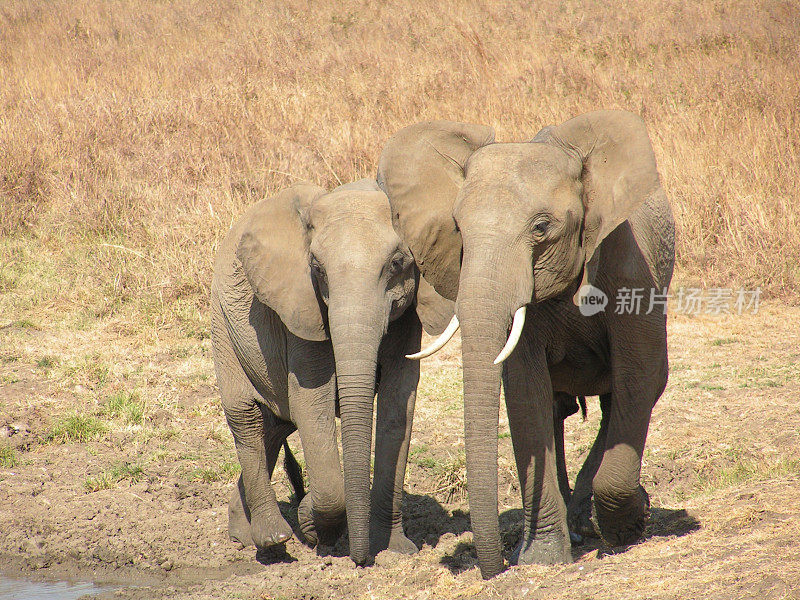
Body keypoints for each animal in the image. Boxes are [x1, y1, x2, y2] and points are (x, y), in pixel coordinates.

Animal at [380, 110, 676, 580]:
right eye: (458, 228)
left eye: (541, 228)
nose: (493, 568)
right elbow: (524, 392)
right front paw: (543, 558)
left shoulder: (631, 267)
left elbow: (641, 378)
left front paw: (627, 528)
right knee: (557, 408)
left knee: (620, 399)